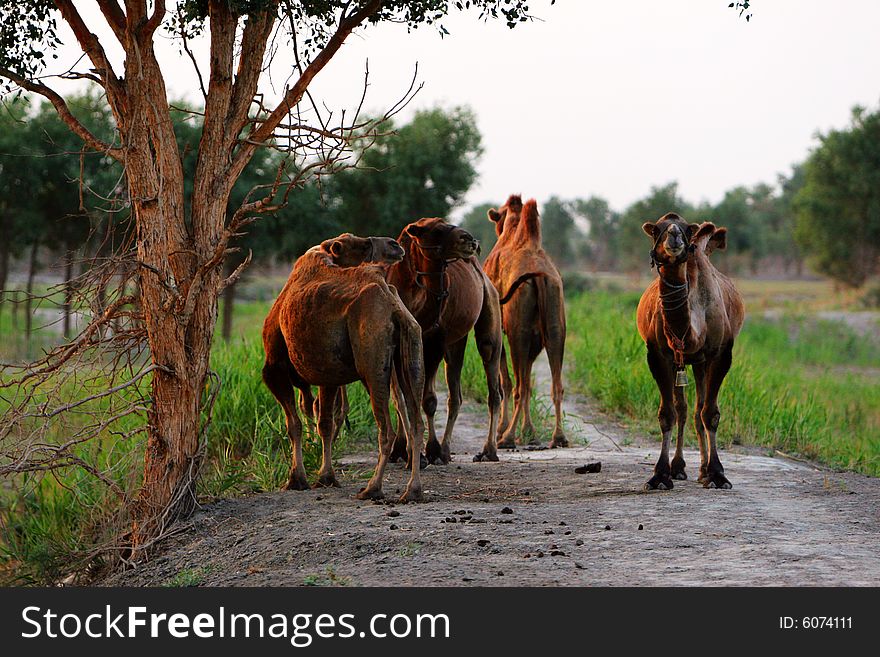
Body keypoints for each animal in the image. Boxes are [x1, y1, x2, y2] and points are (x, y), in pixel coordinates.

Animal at [260, 233, 424, 500]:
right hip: (411, 349)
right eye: (364, 245)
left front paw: (297, 479)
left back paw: (372, 488)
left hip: (371, 363)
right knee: (416, 419)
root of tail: (392, 304)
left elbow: (293, 424)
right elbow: (325, 423)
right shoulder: (327, 373)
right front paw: (325, 477)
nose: (395, 245)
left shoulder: (274, 369)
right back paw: (412, 490)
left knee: (386, 428)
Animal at [384, 218, 502, 464]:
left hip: (486, 315)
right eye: (437, 230)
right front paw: (404, 451)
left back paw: (483, 450)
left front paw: (430, 450)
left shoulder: (436, 339)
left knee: (490, 383)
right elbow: (402, 397)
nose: (470, 240)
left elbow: (427, 399)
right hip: (454, 341)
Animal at [484, 195, 568, 448]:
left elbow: (506, 381)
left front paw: (502, 429)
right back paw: (558, 437)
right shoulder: (536, 337)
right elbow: (529, 382)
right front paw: (529, 431)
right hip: (555, 322)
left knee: (518, 385)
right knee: (555, 384)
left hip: (516, 329)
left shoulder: (499, 330)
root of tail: (539, 276)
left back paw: (507, 438)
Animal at [636, 213, 744, 490]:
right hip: (686, 363)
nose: (674, 234)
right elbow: (668, 414)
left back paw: (703, 470)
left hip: (700, 363)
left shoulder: (721, 354)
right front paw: (660, 475)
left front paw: (717, 474)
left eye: (686, 229)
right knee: (684, 409)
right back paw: (679, 467)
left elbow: (710, 413)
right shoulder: (658, 355)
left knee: (698, 410)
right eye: (657, 230)